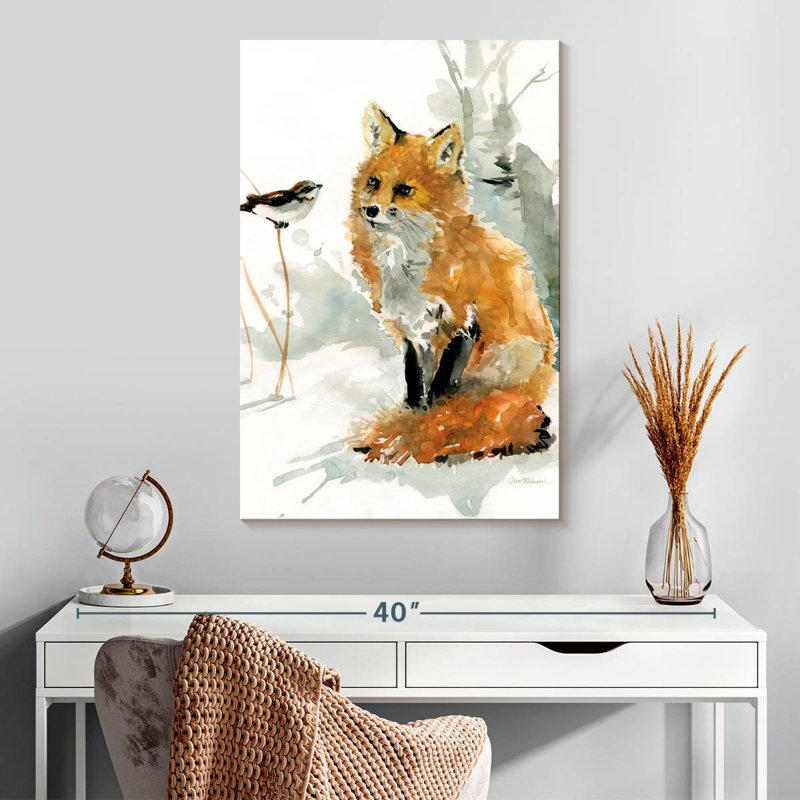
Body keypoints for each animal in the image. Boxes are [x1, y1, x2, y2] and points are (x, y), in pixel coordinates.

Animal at [348, 102, 557, 465]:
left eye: (404, 190)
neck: (406, 266)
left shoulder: (463, 322)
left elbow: (441, 391)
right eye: (373, 182)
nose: (370, 210)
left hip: (513, 355)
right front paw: (415, 418)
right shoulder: (412, 332)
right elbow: (416, 389)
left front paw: (428, 427)